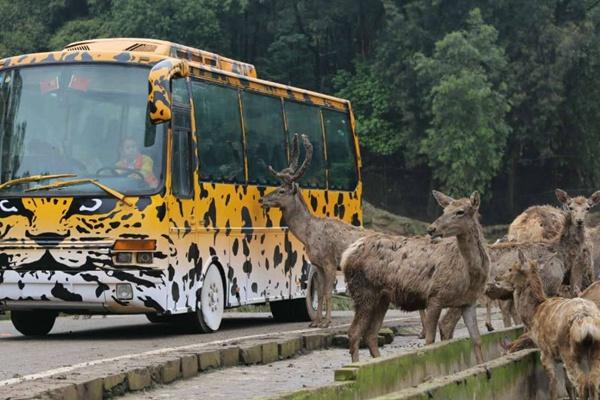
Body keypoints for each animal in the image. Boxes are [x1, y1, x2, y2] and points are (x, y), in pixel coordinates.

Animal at [258, 133, 368, 326]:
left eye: (281, 191)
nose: (262, 199)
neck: (309, 235)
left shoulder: (329, 262)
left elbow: (328, 293)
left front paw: (326, 322)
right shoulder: (317, 264)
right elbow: (322, 293)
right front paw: (315, 322)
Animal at [340, 190, 490, 362]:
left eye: (460, 212)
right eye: (444, 210)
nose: (432, 228)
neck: (471, 274)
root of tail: (346, 254)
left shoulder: (468, 302)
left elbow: (477, 339)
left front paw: (484, 367)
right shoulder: (435, 296)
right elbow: (430, 341)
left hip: (382, 298)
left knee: (370, 334)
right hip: (364, 292)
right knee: (354, 332)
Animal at [504, 250, 600, 400]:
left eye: (510, 268)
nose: (498, 278)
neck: (533, 314)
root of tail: (585, 319)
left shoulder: (545, 354)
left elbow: (553, 386)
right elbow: (566, 385)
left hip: (569, 352)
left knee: (582, 383)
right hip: (595, 350)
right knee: (593, 382)